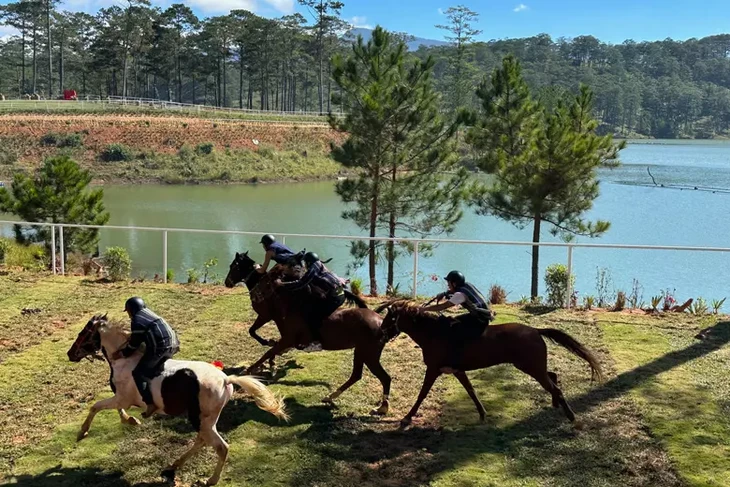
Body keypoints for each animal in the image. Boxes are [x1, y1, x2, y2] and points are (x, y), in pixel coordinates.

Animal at [67, 314, 286, 486]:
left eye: (83, 334)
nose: (70, 354)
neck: (123, 358)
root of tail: (226, 379)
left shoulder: (121, 399)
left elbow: (96, 407)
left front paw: (82, 432)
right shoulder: (122, 400)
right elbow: (114, 410)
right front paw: (131, 420)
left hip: (201, 419)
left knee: (220, 447)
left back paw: (209, 480)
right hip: (206, 420)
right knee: (202, 440)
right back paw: (172, 467)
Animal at [225, 252, 392, 416]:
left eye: (233, 266)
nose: (227, 282)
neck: (293, 303)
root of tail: (382, 321)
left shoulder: (283, 333)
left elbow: (267, 351)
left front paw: (249, 371)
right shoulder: (284, 335)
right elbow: (270, 349)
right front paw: (268, 365)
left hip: (369, 354)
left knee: (384, 378)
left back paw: (382, 408)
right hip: (361, 352)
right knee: (357, 375)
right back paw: (330, 397)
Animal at [376, 304, 604, 428]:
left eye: (390, 317)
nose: (379, 333)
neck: (434, 333)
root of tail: (536, 331)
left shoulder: (433, 369)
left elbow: (422, 394)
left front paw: (407, 417)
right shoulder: (457, 371)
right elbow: (471, 390)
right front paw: (483, 413)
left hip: (531, 367)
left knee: (554, 385)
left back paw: (571, 416)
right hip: (531, 366)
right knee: (553, 377)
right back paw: (557, 405)